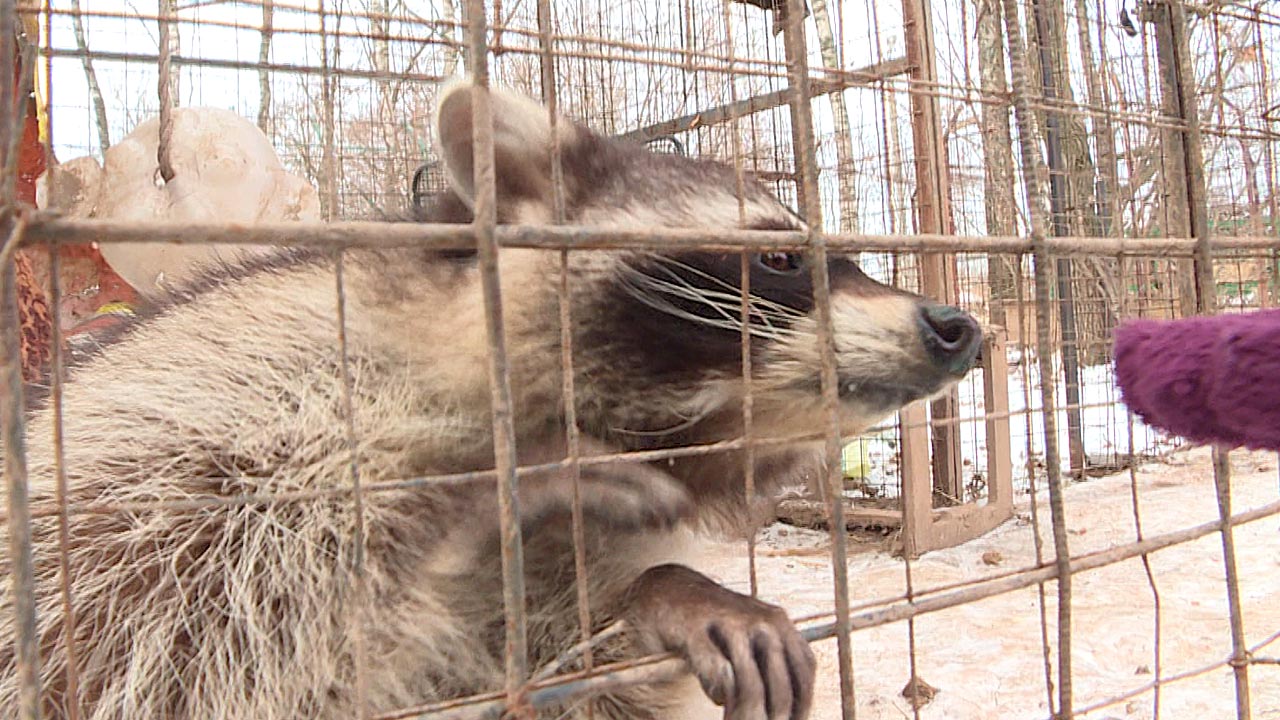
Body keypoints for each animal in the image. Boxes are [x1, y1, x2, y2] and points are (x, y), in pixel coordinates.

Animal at [0, 79, 977, 717]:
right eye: (778, 257)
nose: (958, 326)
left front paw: (658, 591)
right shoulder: (241, 398)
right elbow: (253, 575)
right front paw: (488, 495)